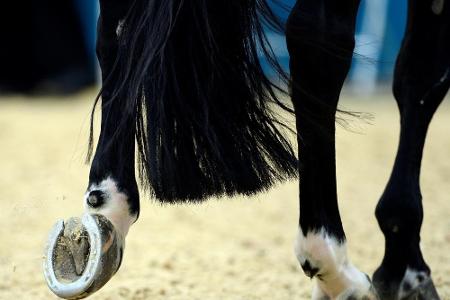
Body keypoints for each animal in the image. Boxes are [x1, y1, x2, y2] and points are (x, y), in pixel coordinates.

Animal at [43, 0, 446, 300]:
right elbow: (420, 75)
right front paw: (404, 268)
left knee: (115, 29)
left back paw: (107, 213)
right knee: (317, 39)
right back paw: (334, 268)